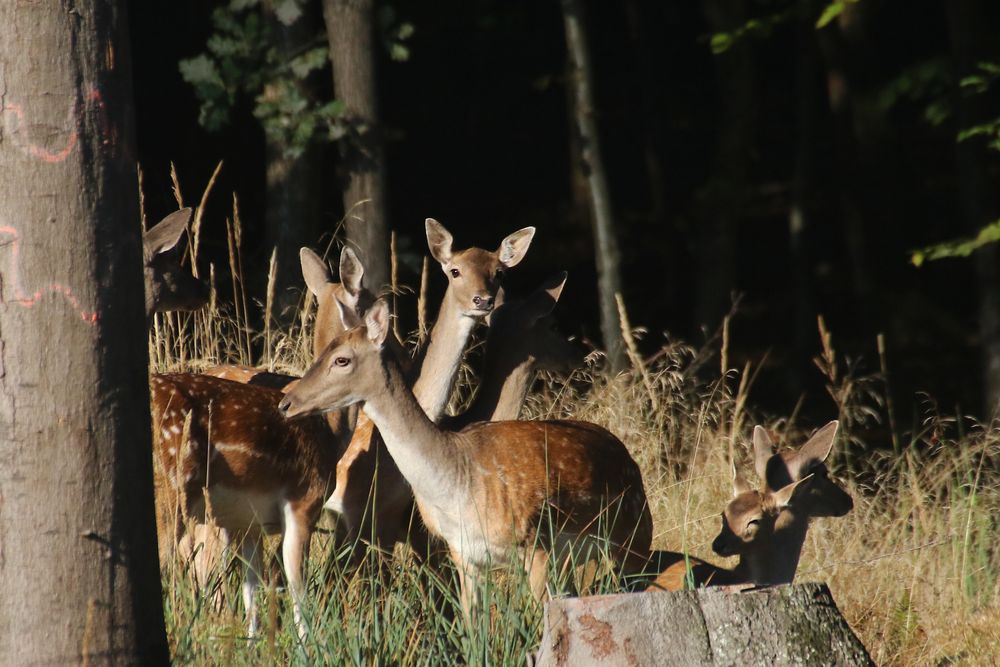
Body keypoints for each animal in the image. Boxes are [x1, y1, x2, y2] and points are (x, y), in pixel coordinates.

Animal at [280, 300, 656, 620]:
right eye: (326, 350)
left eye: (341, 359)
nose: (287, 402)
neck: (457, 485)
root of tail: (630, 460)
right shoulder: (464, 554)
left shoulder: (536, 545)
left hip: (634, 537)